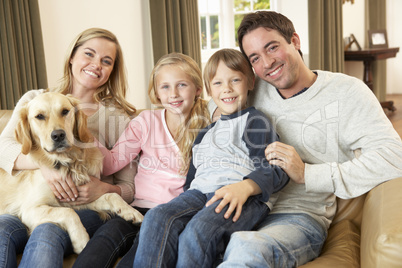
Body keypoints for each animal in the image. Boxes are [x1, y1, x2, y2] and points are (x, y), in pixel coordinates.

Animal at [0, 92, 144, 253]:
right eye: (39, 116)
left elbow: (111, 195)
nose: (58, 135)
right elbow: (69, 212)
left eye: (65, 111)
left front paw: (131, 212)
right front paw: (81, 240)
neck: (69, 162)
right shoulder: (30, 209)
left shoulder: (81, 197)